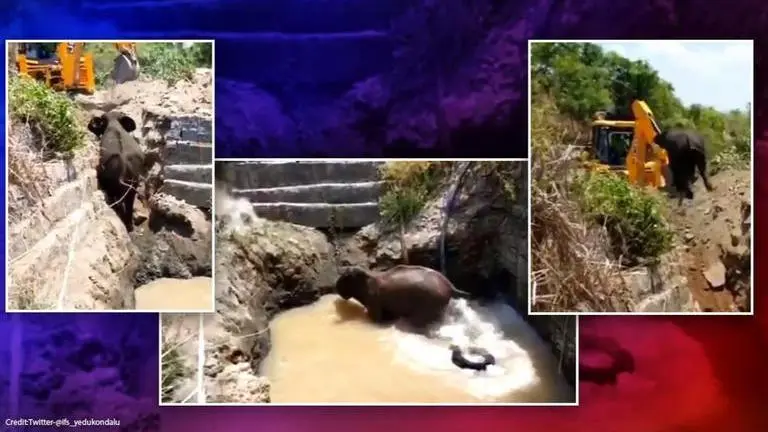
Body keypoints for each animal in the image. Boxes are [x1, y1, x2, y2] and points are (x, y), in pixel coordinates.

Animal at [334, 264, 471, 329]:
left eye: (345, 277)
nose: (336, 288)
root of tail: (450, 286)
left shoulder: (374, 301)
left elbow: (376, 318)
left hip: (430, 303)